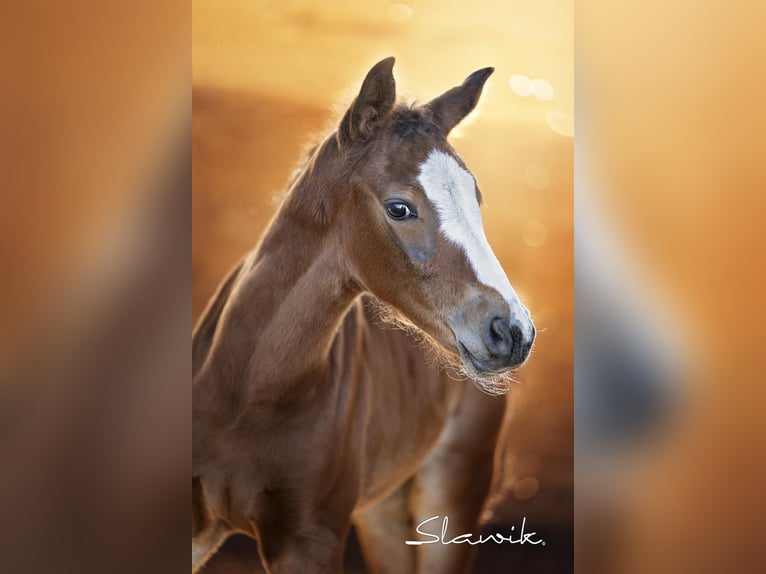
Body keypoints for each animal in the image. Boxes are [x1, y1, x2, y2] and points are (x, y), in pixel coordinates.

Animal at [192, 57, 536, 574]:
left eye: (476, 199)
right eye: (399, 208)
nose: (513, 332)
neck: (248, 394)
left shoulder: (311, 539)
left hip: (454, 491)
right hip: (384, 509)